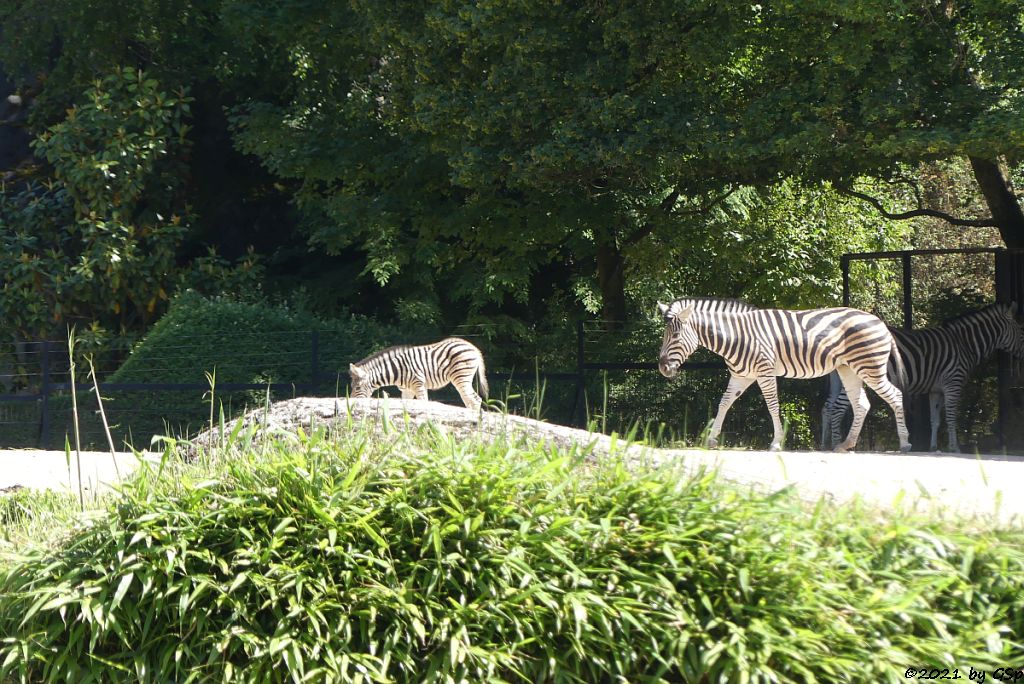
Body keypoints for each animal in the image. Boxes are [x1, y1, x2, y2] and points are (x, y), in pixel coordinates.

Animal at [346, 337, 489, 411]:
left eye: (357, 387)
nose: (351, 403)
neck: (397, 370)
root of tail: (473, 347)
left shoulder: (419, 384)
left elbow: (423, 403)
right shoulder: (407, 390)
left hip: (461, 377)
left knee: (475, 399)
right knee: (470, 400)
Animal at [655, 296, 913, 450]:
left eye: (675, 336)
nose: (663, 368)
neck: (737, 336)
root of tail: (879, 322)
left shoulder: (764, 372)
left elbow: (772, 405)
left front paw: (777, 442)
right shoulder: (742, 376)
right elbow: (724, 403)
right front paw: (711, 438)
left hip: (870, 367)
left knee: (896, 396)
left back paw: (905, 442)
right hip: (848, 369)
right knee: (862, 404)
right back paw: (846, 444)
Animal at [819, 301, 1024, 450]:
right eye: (1022, 333)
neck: (964, 344)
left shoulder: (936, 390)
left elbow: (935, 420)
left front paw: (933, 448)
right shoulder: (953, 383)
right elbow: (951, 417)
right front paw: (954, 447)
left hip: (841, 378)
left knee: (827, 408)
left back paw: (824, 445)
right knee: (837, 409)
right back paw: (839, 445)